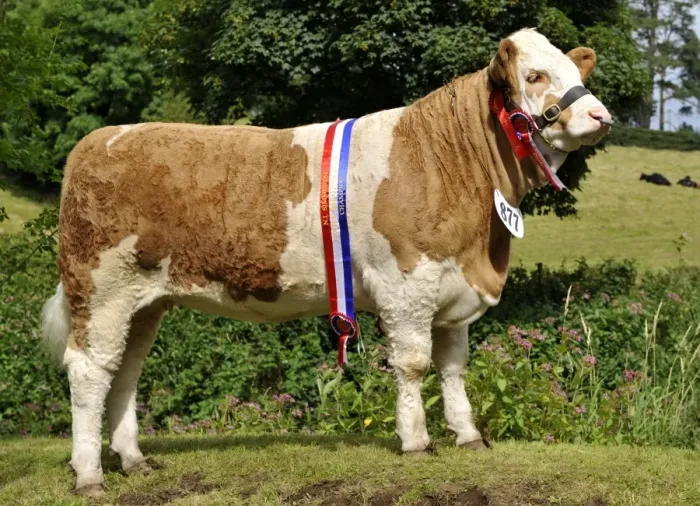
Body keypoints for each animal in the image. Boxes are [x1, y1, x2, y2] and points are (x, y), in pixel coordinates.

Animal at [41, 28, 611, 495]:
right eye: (535, 76)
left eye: (573, 71)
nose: (600, 116)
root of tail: (100, 139)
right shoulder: (407, 285)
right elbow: (413, 364)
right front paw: (416, 441)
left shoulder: (451, 288)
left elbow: (452, 367)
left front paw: (467, 435)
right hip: (102, 289)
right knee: (90, 370)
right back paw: (89, 474)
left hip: (145, 302)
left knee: (125, 370)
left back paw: (134, 460)